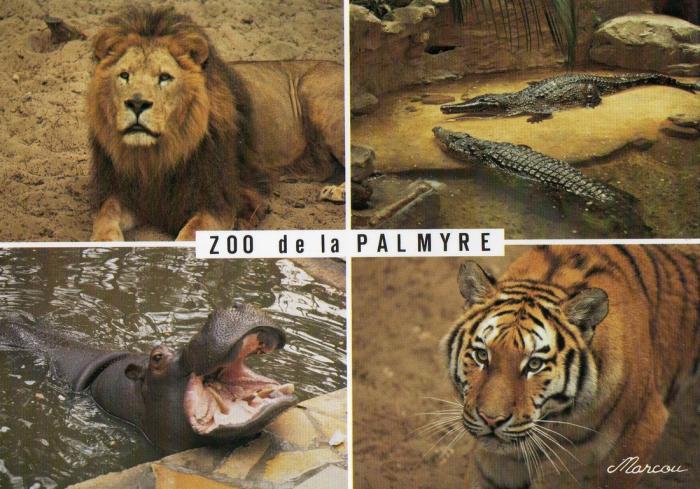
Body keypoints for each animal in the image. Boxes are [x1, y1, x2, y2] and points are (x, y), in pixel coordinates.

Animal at [87, 6, 344, 241]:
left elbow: (190, 234)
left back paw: (337, 192)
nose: (137, 103)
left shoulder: (219, 200)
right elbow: (106, 214)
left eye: (164, 78)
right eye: (124, 75)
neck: (159, 156)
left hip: (316, 97)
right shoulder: (128, 193)